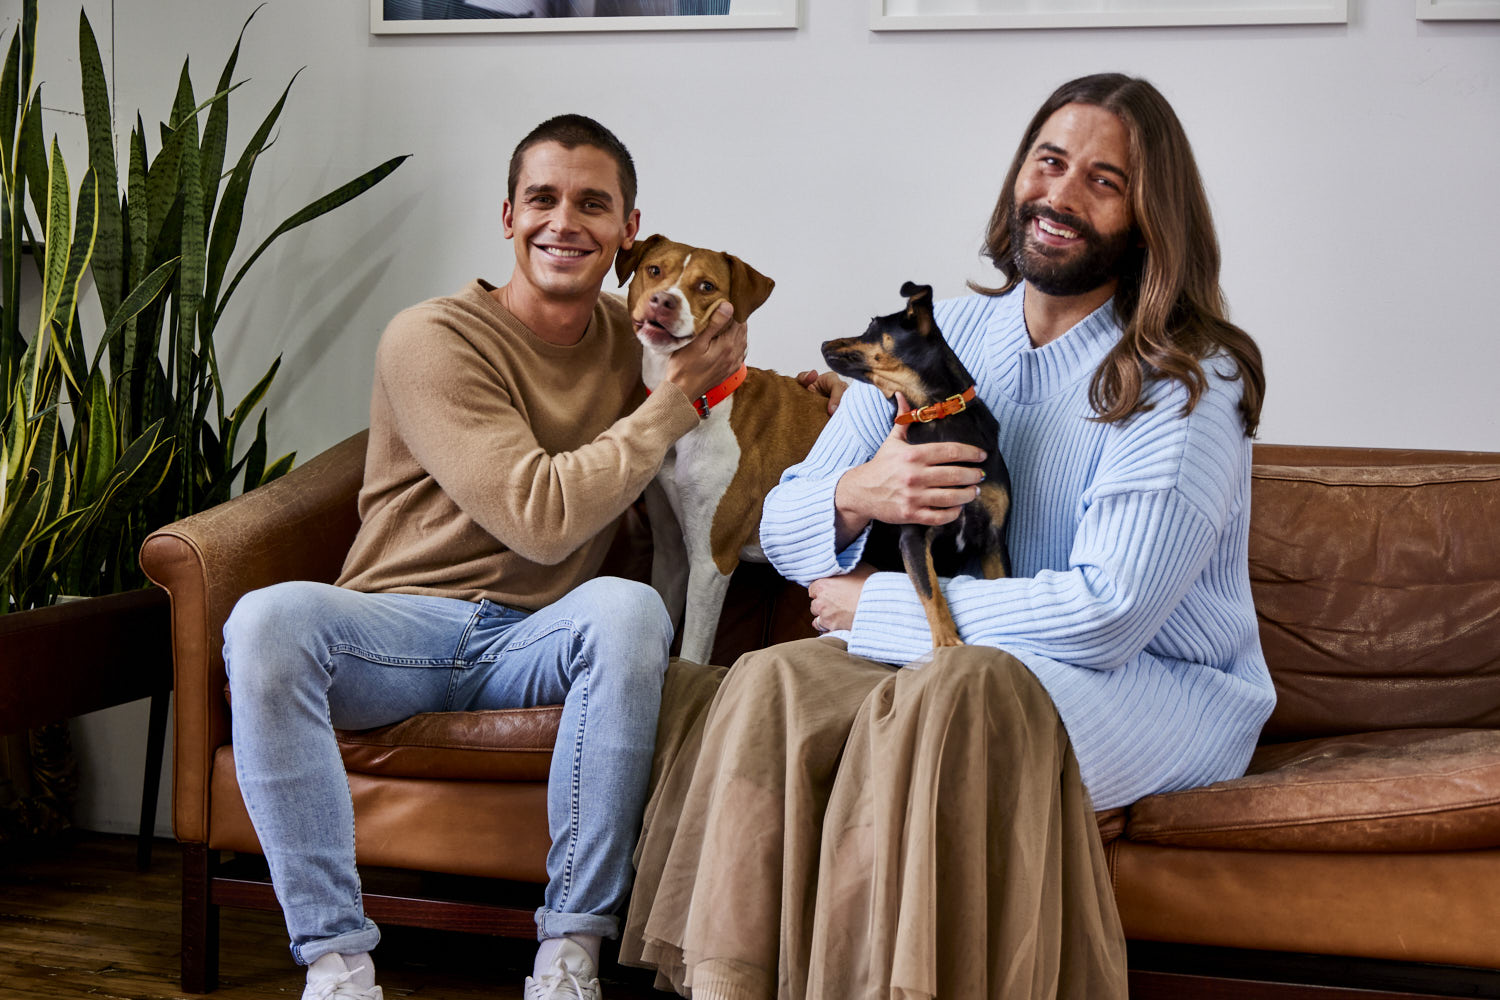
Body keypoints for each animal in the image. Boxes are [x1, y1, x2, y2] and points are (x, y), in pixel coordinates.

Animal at [618, 230, 834, 659]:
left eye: (706, 286)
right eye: (654, 270)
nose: (663, 301)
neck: (696, 405)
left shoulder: (711, 562)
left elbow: (692, 651)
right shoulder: (670, 553)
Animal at [816, 281, 1014, 644]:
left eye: (872, 326)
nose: (824, 343)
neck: (939, 414)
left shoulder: (993, 539)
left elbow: (1000, 589)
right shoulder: (914, 536)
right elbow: (931, 590)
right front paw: (947, 642)